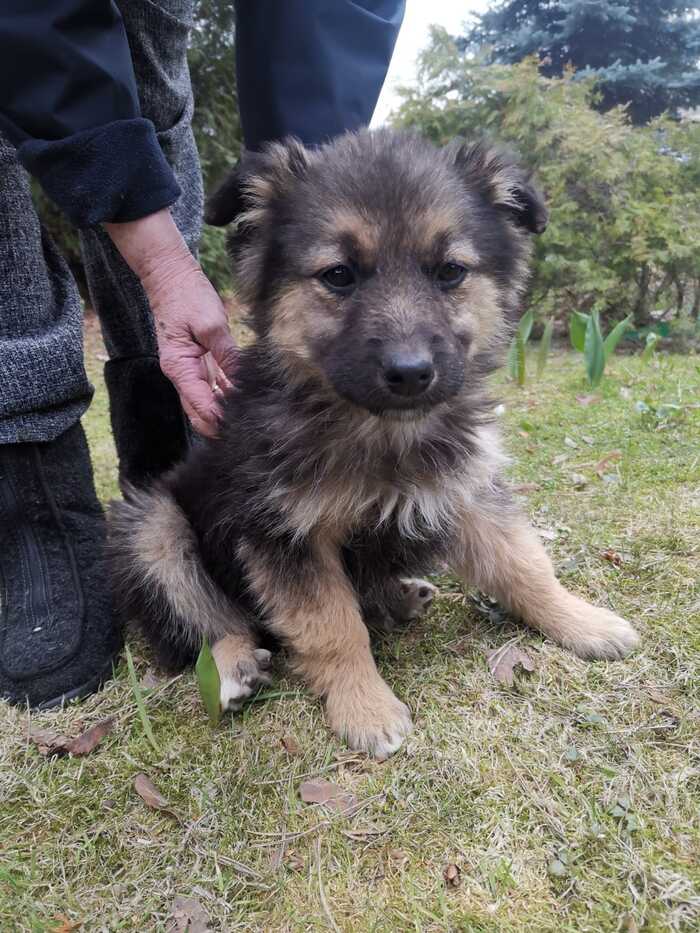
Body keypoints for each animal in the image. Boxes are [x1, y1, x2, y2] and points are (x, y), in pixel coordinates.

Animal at [109, 129, 639, 758]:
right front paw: (366, 708)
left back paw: (402, 597)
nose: (410, 373)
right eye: (339, 275)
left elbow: (526, 567)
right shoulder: (284, 534)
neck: (380, 429)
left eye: (450, 271)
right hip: (153, 529)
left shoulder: (468, 491)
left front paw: (583, 623)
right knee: (209, 621)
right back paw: (235, 666)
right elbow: (333, 627)